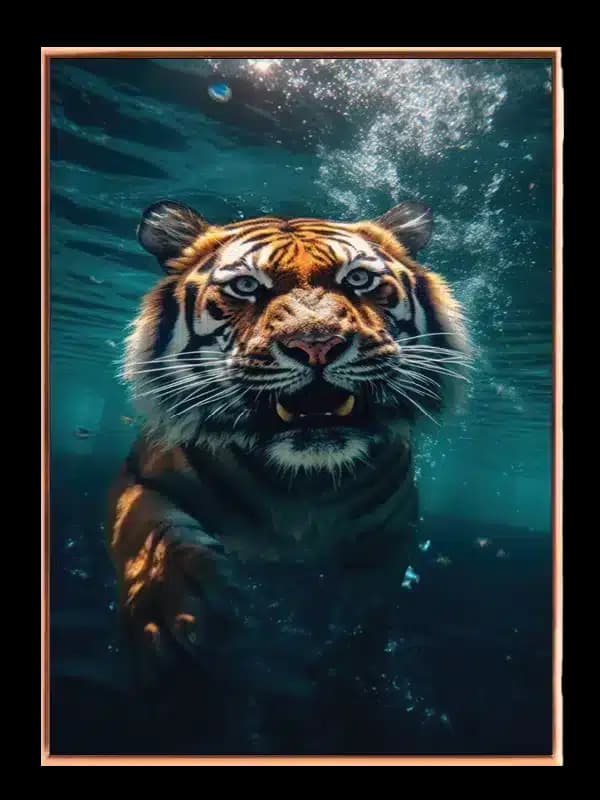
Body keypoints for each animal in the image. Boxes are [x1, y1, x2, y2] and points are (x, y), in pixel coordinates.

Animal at [106, 199, 470, 683]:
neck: (302, 483)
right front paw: (169, 614)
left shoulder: (392, 531)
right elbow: (148, 531)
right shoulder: (140, 476)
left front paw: (349, 664)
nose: (316, 343)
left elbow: (367, 608)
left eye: (358, 279)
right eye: (245, 286)